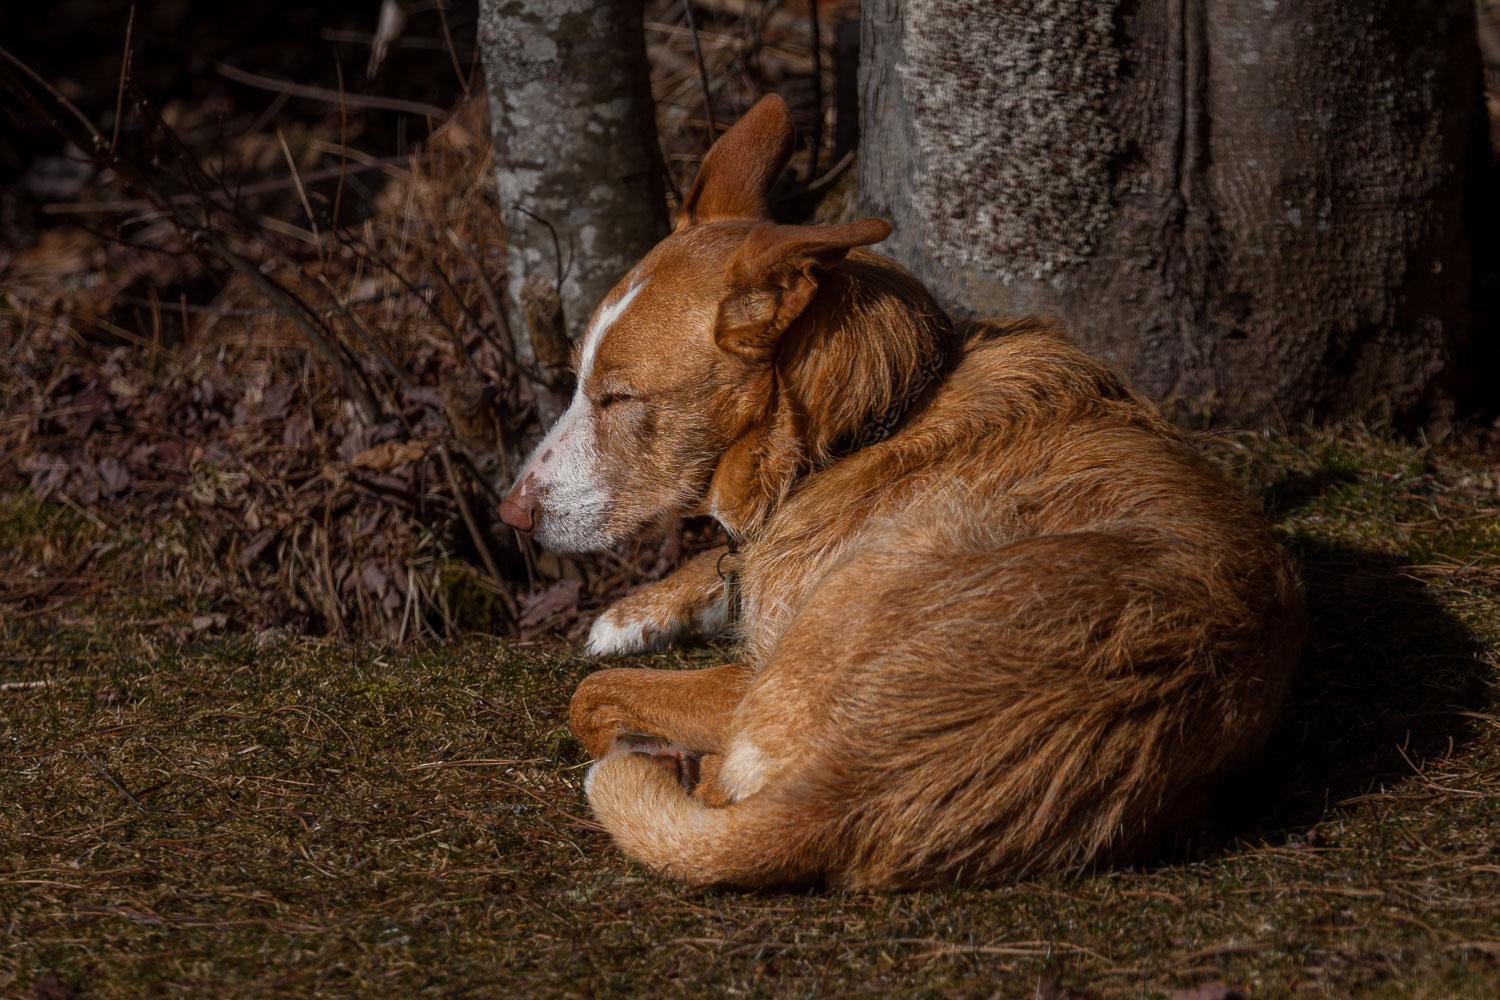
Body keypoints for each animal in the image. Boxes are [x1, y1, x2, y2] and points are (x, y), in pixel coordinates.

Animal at [498, 95, 1308, 893]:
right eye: (579, 381)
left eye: (618, 397)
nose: (511, 511)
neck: (869, 420)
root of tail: (847, 794)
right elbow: (718, 571)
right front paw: (633, 613)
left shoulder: (751, 669)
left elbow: (591, 696)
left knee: (675, 755)